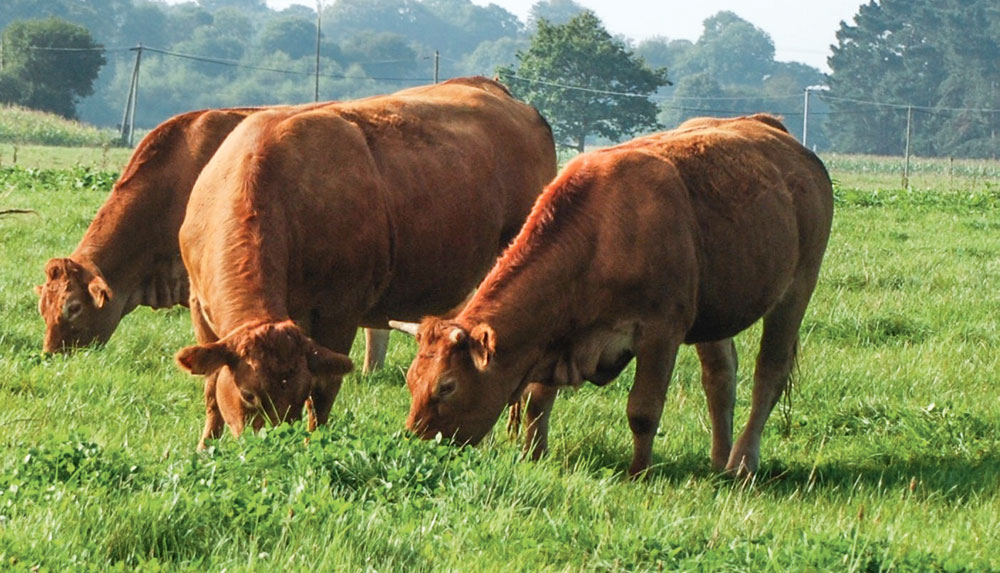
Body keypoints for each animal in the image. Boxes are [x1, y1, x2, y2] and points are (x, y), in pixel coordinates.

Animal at [176, 77, 560, 446]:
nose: (271, 444)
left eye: (298, 393)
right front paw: (205, 446)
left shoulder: (338, 312)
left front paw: (311, 443)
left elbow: (324, 392)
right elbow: (211, 385)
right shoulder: (199, 305)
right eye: (248, 394)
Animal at [394, 114, 832, 476]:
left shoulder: (661, 331)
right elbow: (537, 402)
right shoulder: (557, 335)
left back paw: (743, 462)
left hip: (797, 288)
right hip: (716, 309)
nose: (417, 442)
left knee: (768, 375)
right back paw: (718, 460)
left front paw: (639, 472)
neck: (600, 236)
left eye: (446, 386)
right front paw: (533, 455)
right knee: (720, 377)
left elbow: (643, 409)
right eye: (411, 380)